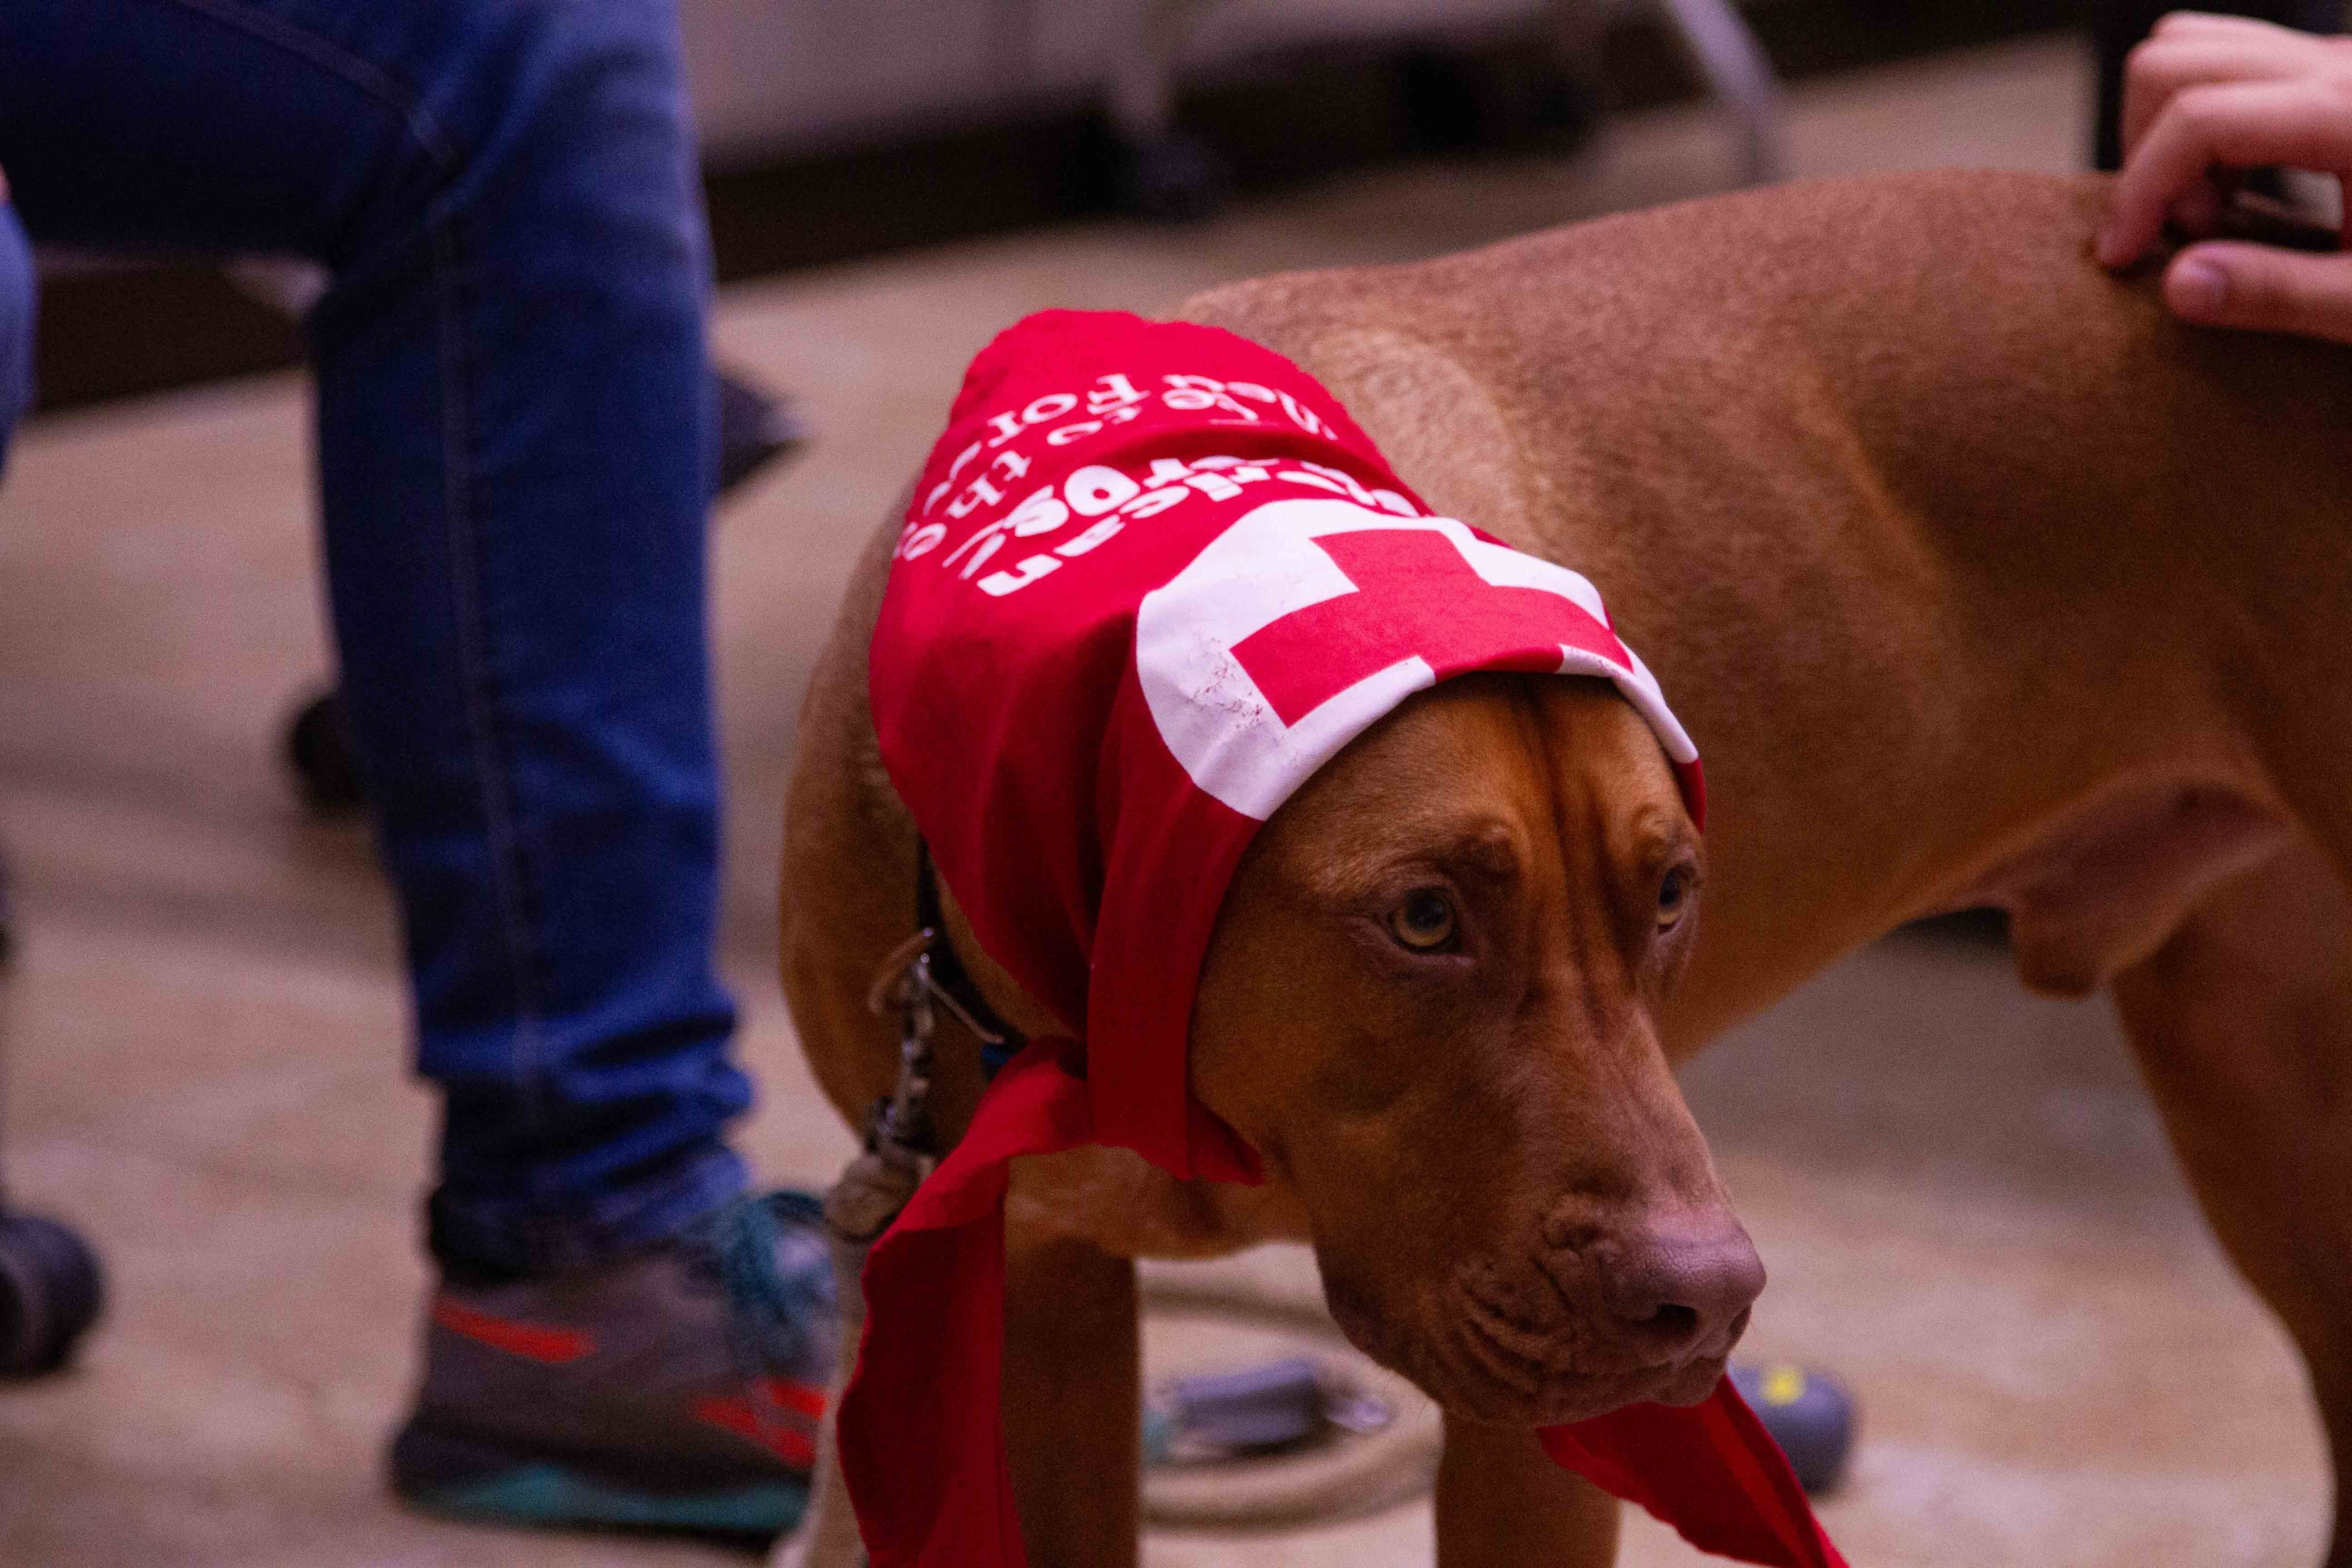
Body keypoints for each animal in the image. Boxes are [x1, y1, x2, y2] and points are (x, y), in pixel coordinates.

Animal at [781, 166, 2352, 1561]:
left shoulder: (1535, 1426)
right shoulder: (1038, 1295)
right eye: (1424, 918)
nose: (1710, 1303)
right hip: (2258, 1090)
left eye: (1671, 898)